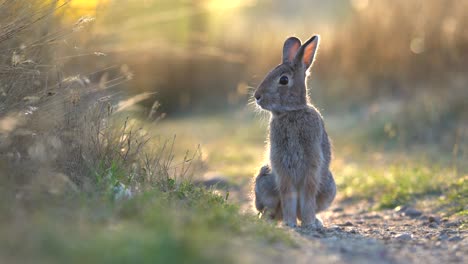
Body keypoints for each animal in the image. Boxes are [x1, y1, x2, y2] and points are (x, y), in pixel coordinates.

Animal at [252, 35, 336, 228]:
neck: (291, 112)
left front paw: (308, 223)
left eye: (283, 80)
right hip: (263, 183)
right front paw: (290, 223)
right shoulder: (281, 166)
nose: (257, 96)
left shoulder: (312, 164)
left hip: (329, 187)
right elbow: (288, 195)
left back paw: (315, 221)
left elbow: (308, 195)